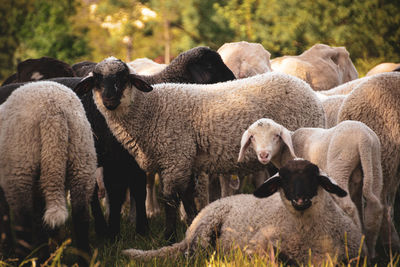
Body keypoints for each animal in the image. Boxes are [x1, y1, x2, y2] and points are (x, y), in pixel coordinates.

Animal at [73, 55, 326, 240]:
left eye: (124, 78)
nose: (109, 100)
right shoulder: (184, 160)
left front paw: (168, 236)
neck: (149, 108)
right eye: (97, 80)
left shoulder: (175, 156)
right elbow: (186, 196)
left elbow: (170, 199)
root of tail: (309, 92)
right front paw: (192, 224)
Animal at [123, 159, 364, 266]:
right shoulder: (259, 244)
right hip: (205, 229)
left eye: (313, 177)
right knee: (194, 254)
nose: (300, 198)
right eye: (284, 179)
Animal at [236, 118, 382, 258]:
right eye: (252, 137)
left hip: (341, 166)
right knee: (374, 206)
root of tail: (363, 138)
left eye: (276, 135)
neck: (286, 148)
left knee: (349, 207)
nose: (263, 155)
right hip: (374, 164)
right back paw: (371, 251)